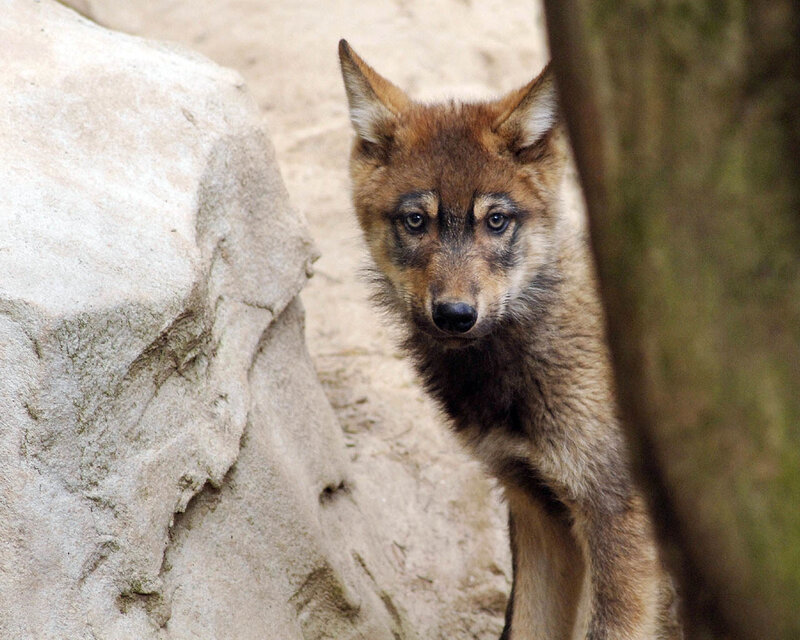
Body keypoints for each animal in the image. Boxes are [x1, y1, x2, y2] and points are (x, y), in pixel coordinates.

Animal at [337, 40, 682, 640]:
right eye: (415, 221)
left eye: (496, 220)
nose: (455, 315)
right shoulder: (536, 509)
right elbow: (522, 626)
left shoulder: (617, 522)